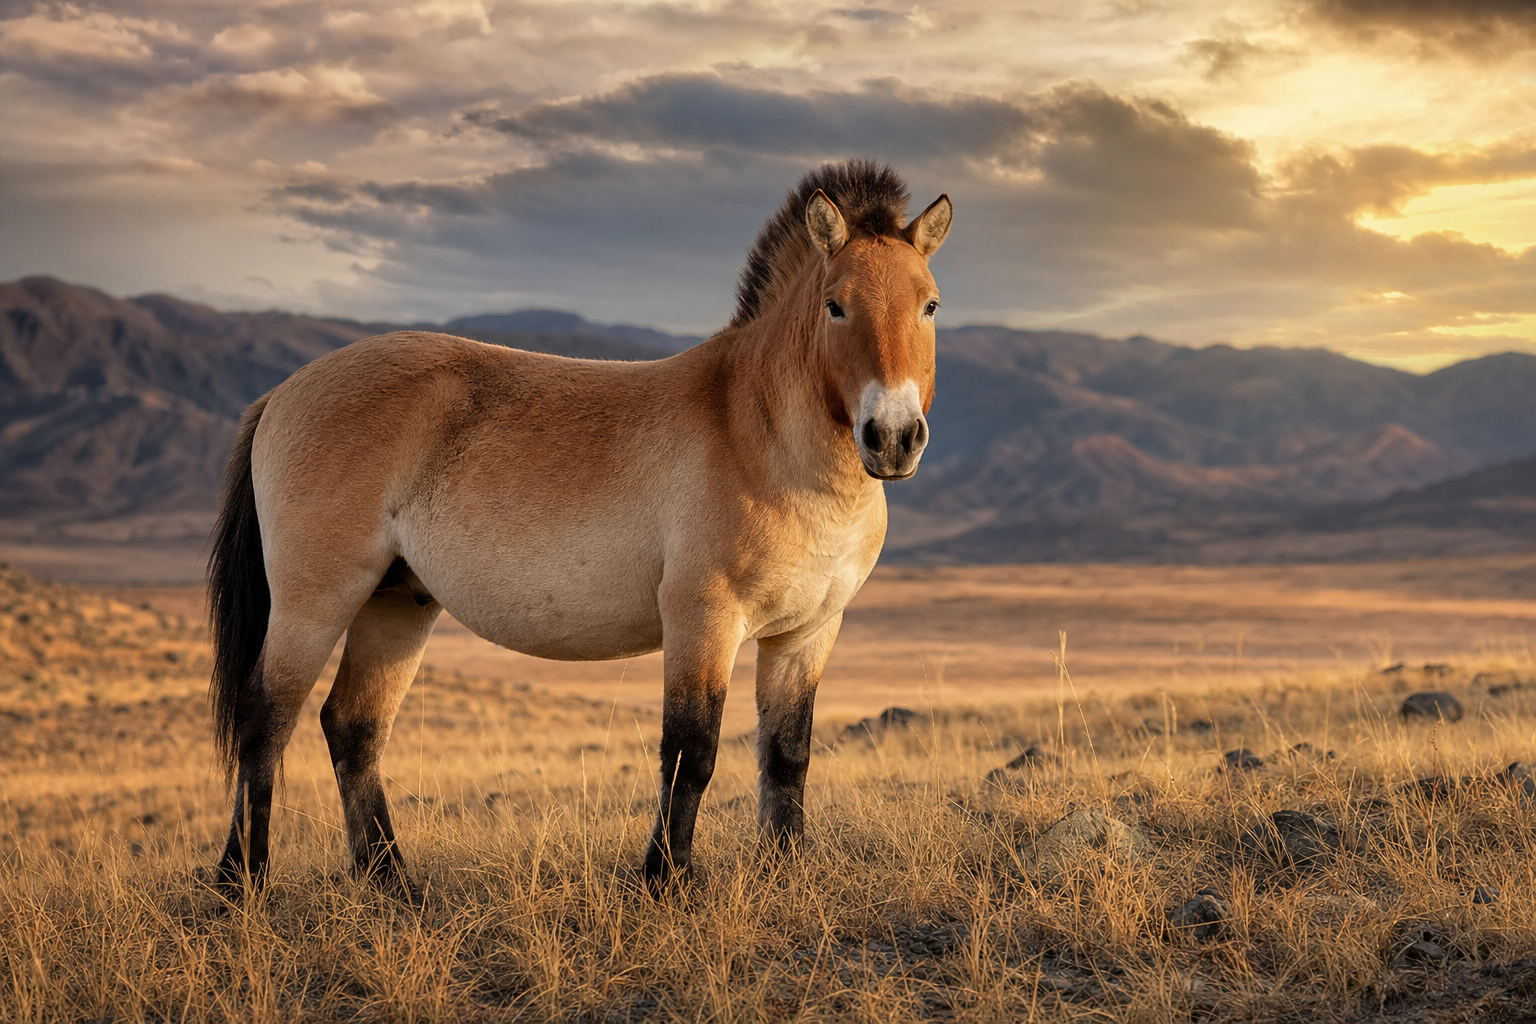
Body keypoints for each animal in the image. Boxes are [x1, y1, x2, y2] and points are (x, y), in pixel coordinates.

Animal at [207, 159, 952, 897]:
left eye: (930, 305)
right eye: (836, 305)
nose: (892, 436)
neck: (759, 433)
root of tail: (283, 392)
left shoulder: (808, 632)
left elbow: (787, 754)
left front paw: (785, 874)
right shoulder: (703, 618)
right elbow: (692, 751)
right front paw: (666, 880)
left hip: (396, 603)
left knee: (353, 726)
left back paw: (391, 882)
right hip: (315, 601)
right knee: (265, 721)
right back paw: (241, 882)